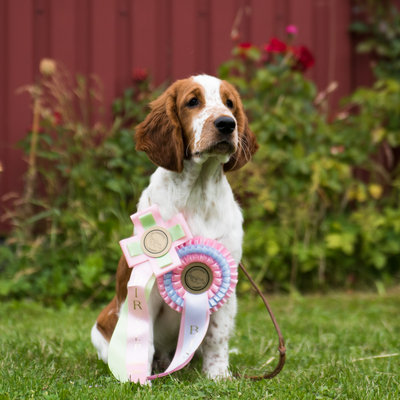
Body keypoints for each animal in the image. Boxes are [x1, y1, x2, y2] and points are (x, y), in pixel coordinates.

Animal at [91, 74, 259, 379]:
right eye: (192, 102)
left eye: (230, 103)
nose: (227, 124)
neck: (198, 193)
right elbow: (141, 336)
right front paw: (137, 378)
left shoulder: (227, 280)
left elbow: (217, 334)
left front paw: (218, 375)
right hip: (100, 325)